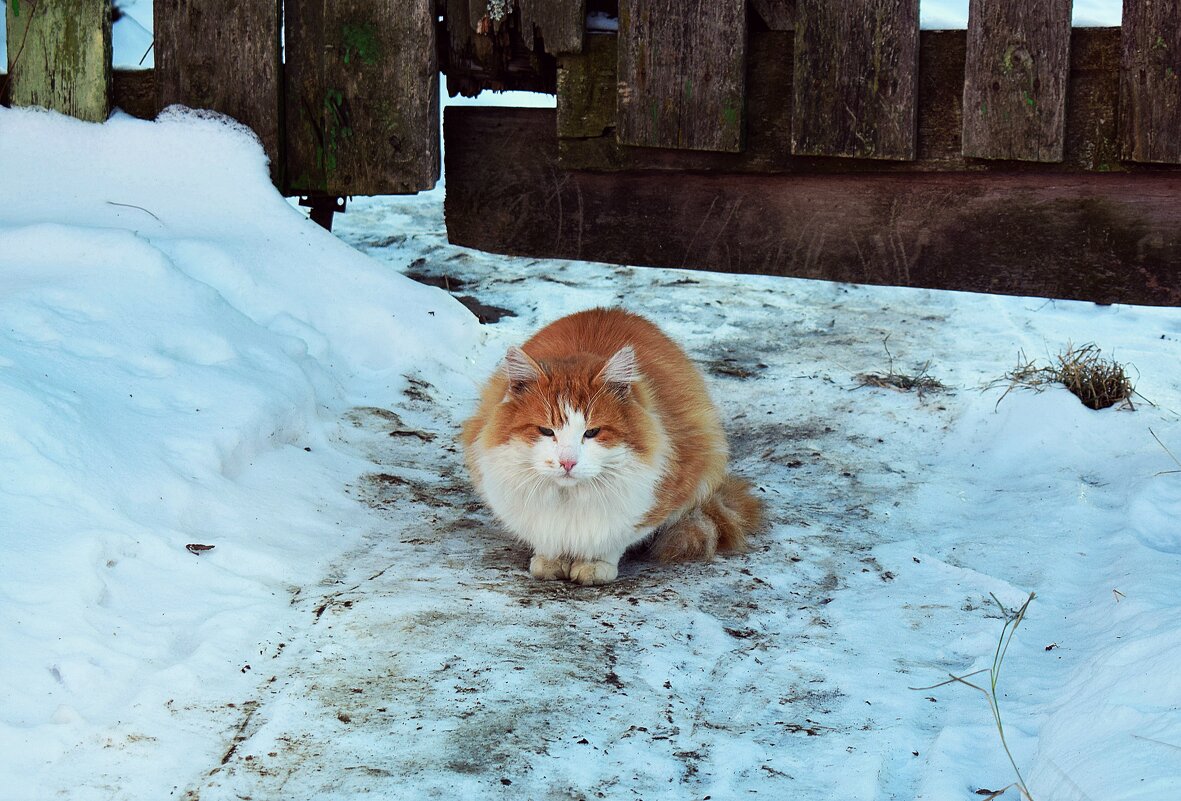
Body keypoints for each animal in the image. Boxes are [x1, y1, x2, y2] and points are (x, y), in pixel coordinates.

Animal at [460, 304, 765, 583]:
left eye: (592, 432)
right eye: (546, 431)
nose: (567, 462)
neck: (570, 498)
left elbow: (615, 537)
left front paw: (594, 565)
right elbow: (545, 536)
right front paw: (551, 559)